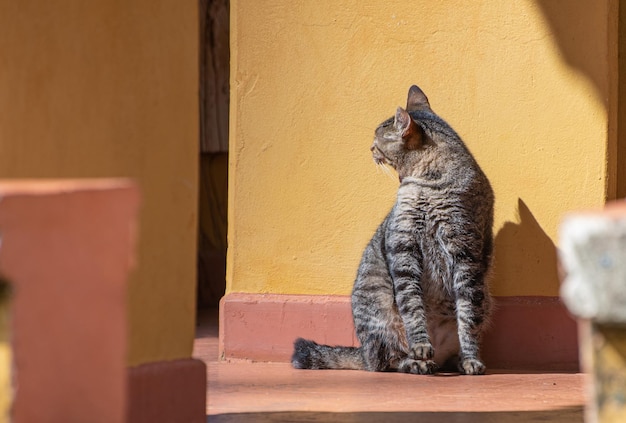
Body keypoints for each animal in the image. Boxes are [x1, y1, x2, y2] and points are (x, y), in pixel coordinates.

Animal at [292, 84, 492, 376]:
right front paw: (420, 346)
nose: (369, 148)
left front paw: (470, 359)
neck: (426, 184)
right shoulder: (403, 246)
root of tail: (362, 352)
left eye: (378, 140)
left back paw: (451, 360)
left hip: (486, 298)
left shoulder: (466, 251)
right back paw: (416, 362)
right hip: (379, 306)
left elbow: (468, 317)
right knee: (385, 361)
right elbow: (412, 305)